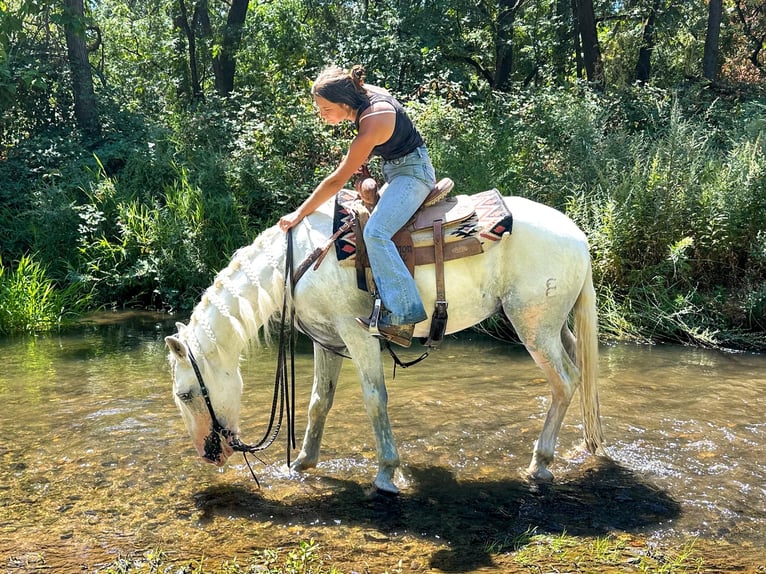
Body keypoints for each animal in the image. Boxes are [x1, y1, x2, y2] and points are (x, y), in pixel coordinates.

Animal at [166, 194, 608, 496]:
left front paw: (385, 473)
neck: (298, 262)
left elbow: (374, 398)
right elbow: (318, 401)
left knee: (565, 382)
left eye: (185, 395)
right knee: (579, 373)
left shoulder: (357, 333)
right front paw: (301, 464)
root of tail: (578, 236)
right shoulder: (327, 340)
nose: (209, 455)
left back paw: (540, 464)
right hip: (555, 327)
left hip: (533, 327)